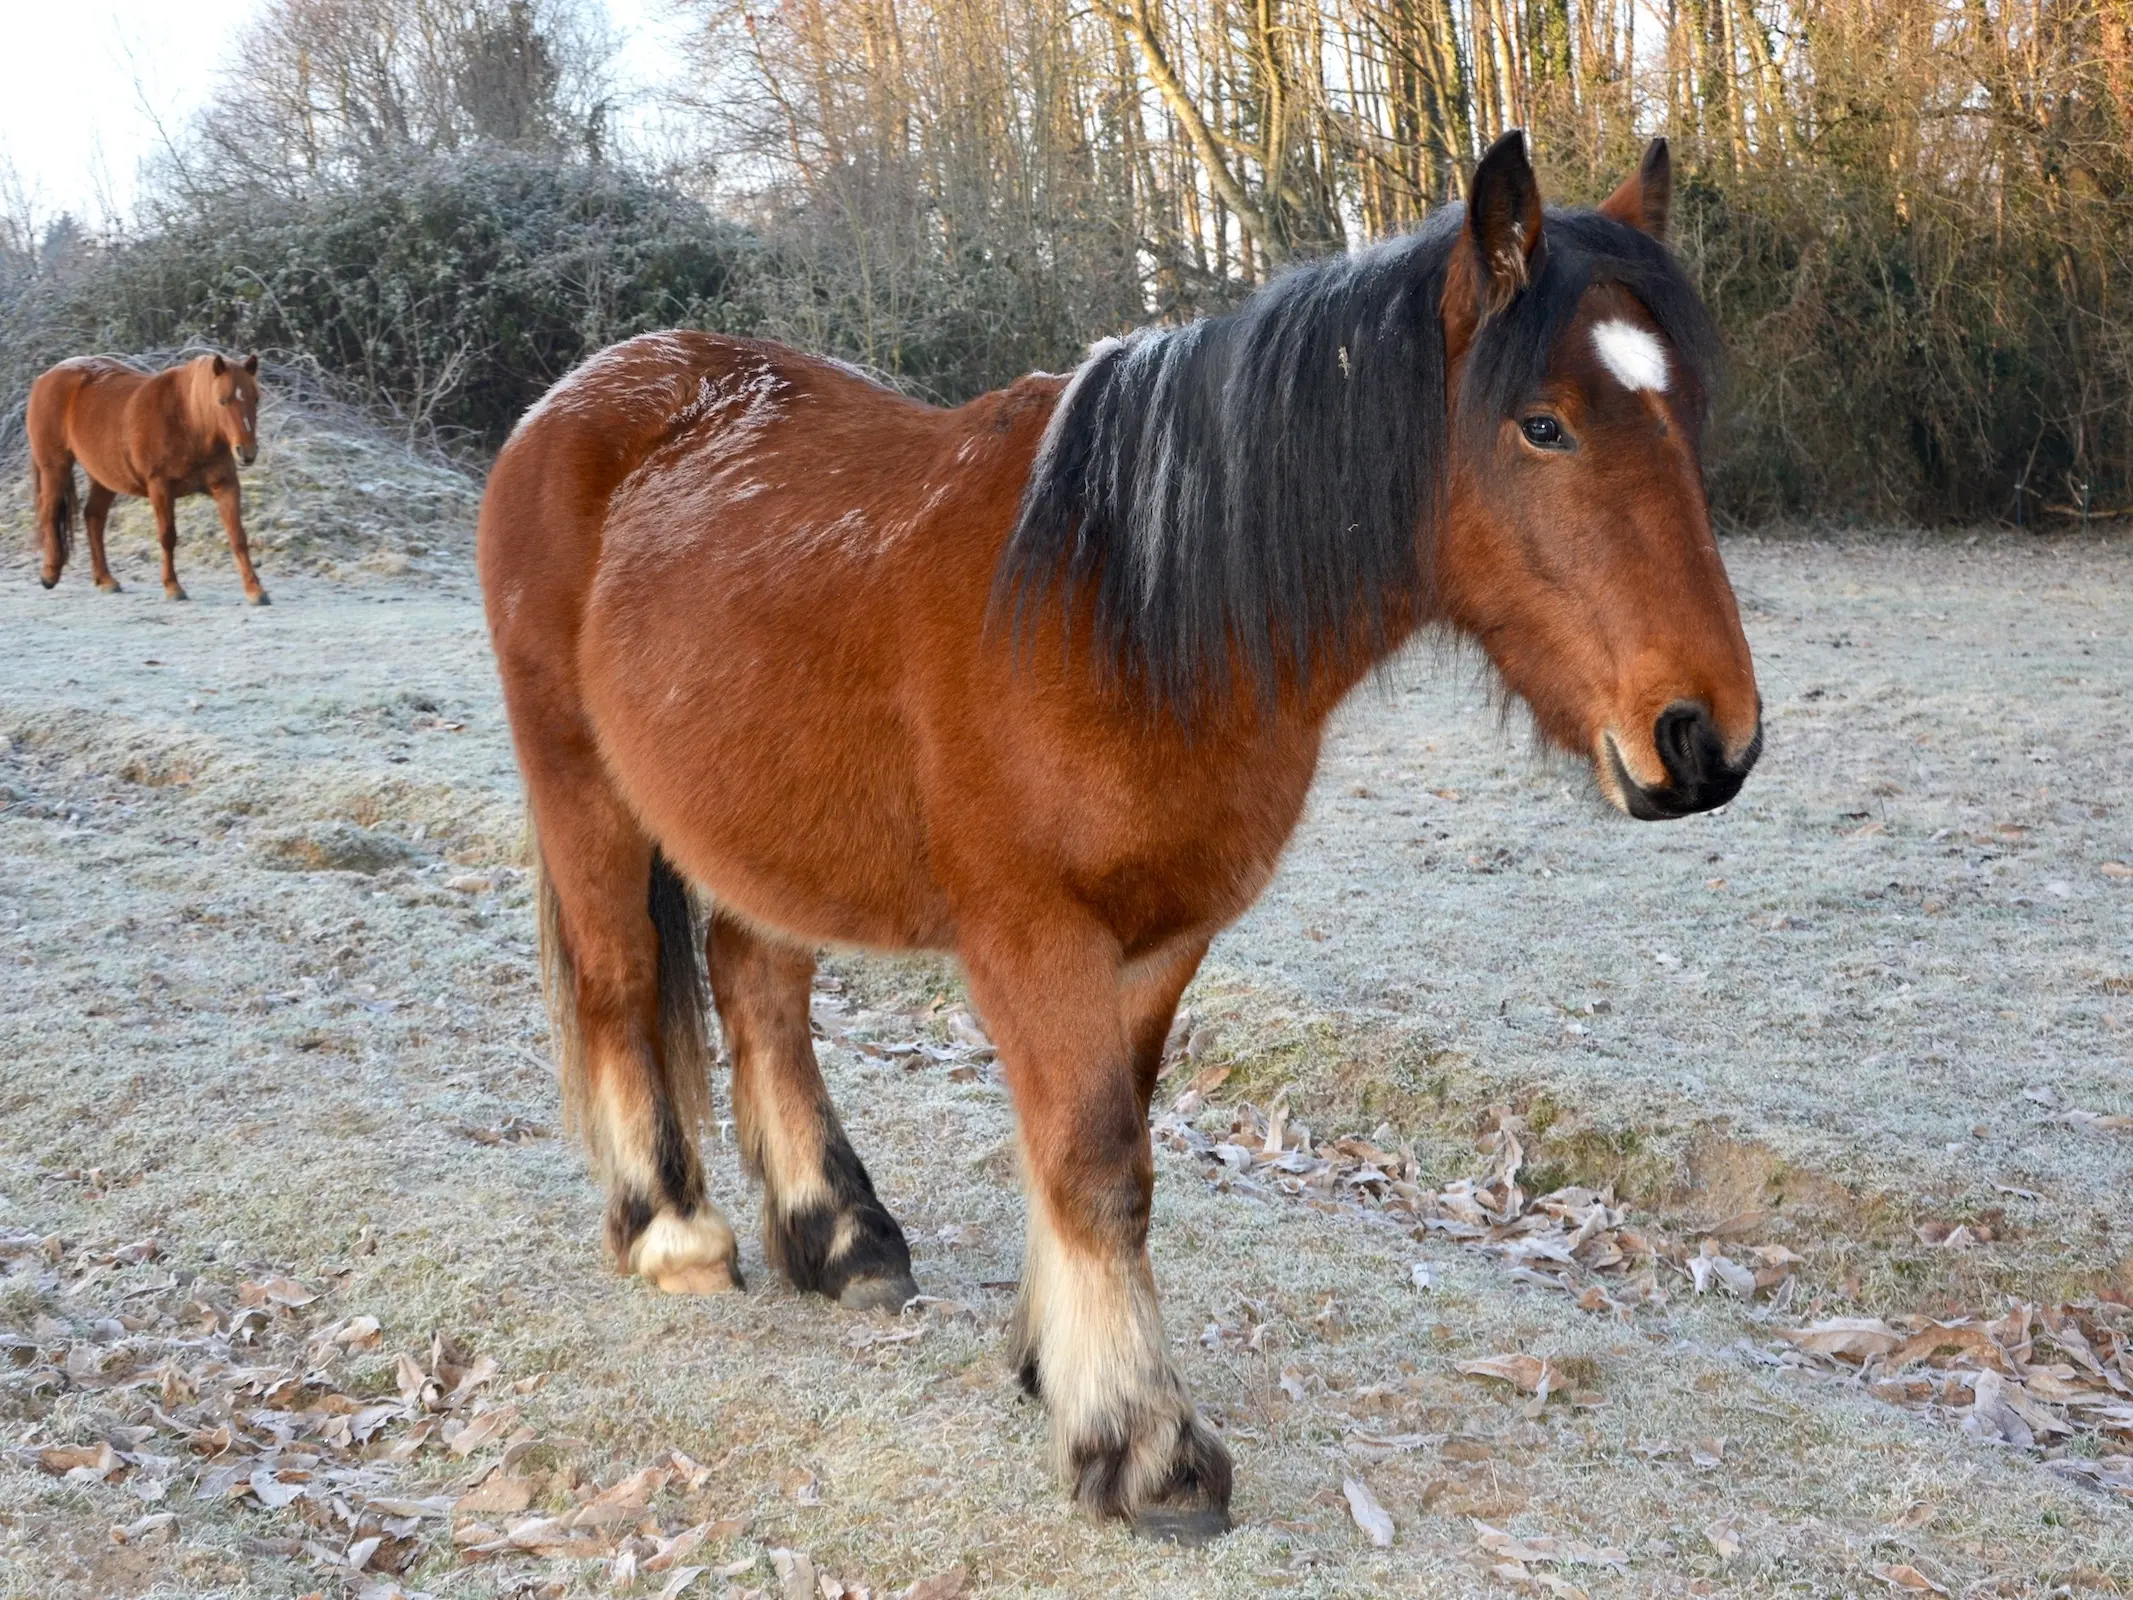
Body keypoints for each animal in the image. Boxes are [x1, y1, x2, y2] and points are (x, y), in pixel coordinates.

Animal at [25, 354, 270, 605]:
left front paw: (255, 590)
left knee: (93, 517)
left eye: (256, 399)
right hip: (55, 467)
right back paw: (49, 574)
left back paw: (105, 580)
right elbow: (167, 537)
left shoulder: (226, 486)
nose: (247, 452)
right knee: (50, 514)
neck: (188, 421)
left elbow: (238, 536)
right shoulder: (160, 487)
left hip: (104, 477)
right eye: (222, 400)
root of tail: (46, 377)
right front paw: (173, 587)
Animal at [484, 134, 1766, 1544]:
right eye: (1542, 424)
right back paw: (674, 1235)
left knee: (759, 991)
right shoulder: (1033, 938)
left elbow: (1110, 1147)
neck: (1123, 603)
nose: (1707, 738)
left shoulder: (1160, 940)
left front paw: (1053, 1362)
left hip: (761, 828)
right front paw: (1142, 1444)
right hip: (585, 793)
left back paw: (841, 1238)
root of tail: (576, 399)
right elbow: (1095, 1163)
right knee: (619, 983)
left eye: (1686, 415)